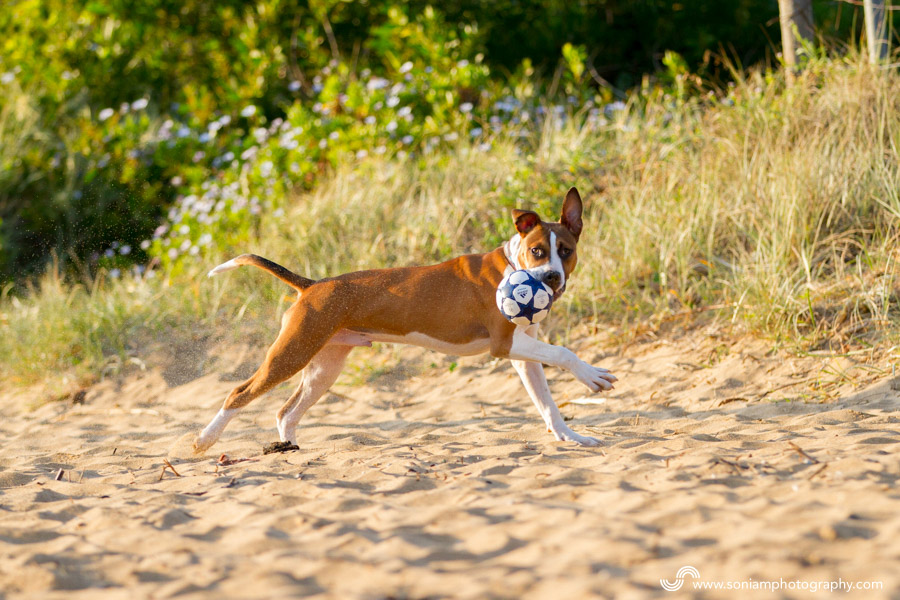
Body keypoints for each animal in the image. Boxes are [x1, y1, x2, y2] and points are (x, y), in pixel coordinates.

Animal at [195, 185, 620, 452]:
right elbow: (563, 352)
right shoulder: (506, 344)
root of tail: (312, 285)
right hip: (292, 352)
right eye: (536, 251)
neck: (511, 266)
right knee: (239, 393)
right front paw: (592, 376)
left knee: (286, 410)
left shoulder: (522, 354)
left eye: (565, 251)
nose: (551, 278)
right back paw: (205, 441)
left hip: (324, 366)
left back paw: (289, 448)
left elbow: (547, 403)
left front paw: (571, 438)